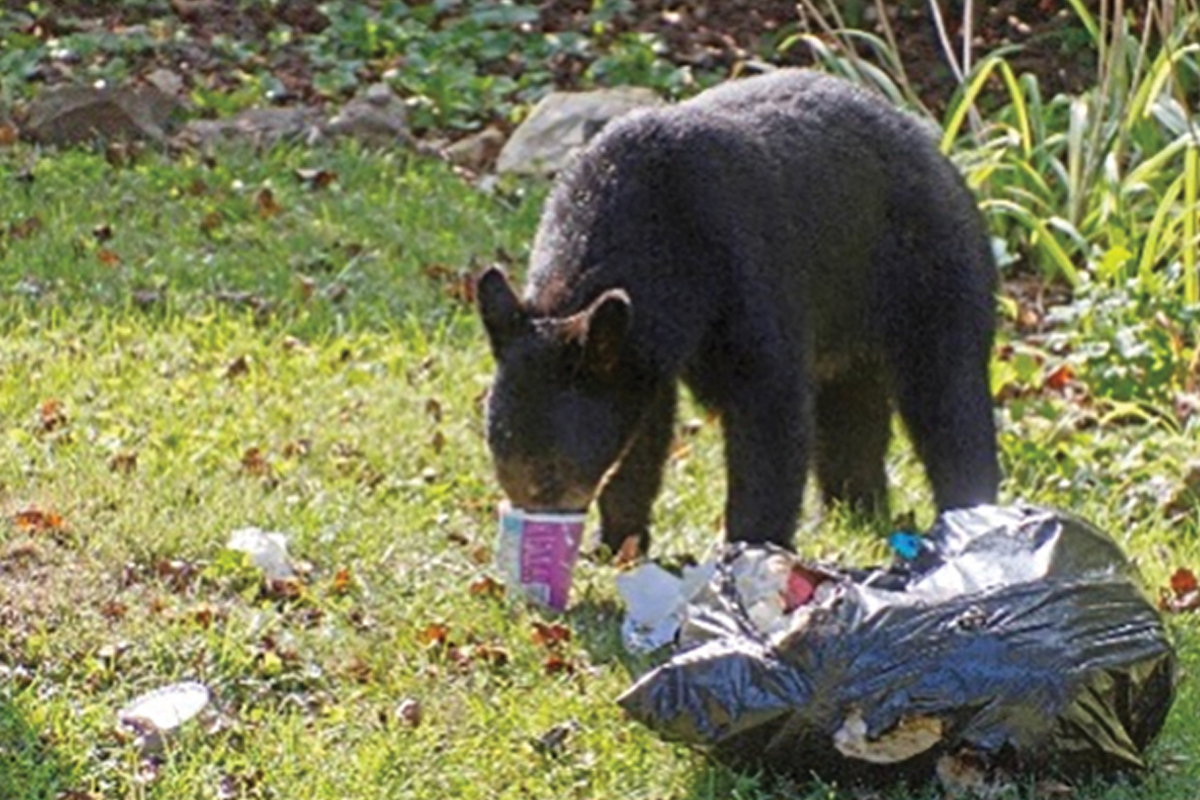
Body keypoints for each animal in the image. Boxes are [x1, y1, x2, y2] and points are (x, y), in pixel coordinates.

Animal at [472, 68, 998, 554]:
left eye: (549, 475)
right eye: (501, 464)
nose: (536, 534)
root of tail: (938, 149)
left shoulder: (745, 270)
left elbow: (770, 411)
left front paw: (751, 547)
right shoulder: (641, 344)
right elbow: (644, 430)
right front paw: (617, 541)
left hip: (931, 268)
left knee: (948, 394)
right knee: (851, 414)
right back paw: (855, 513)